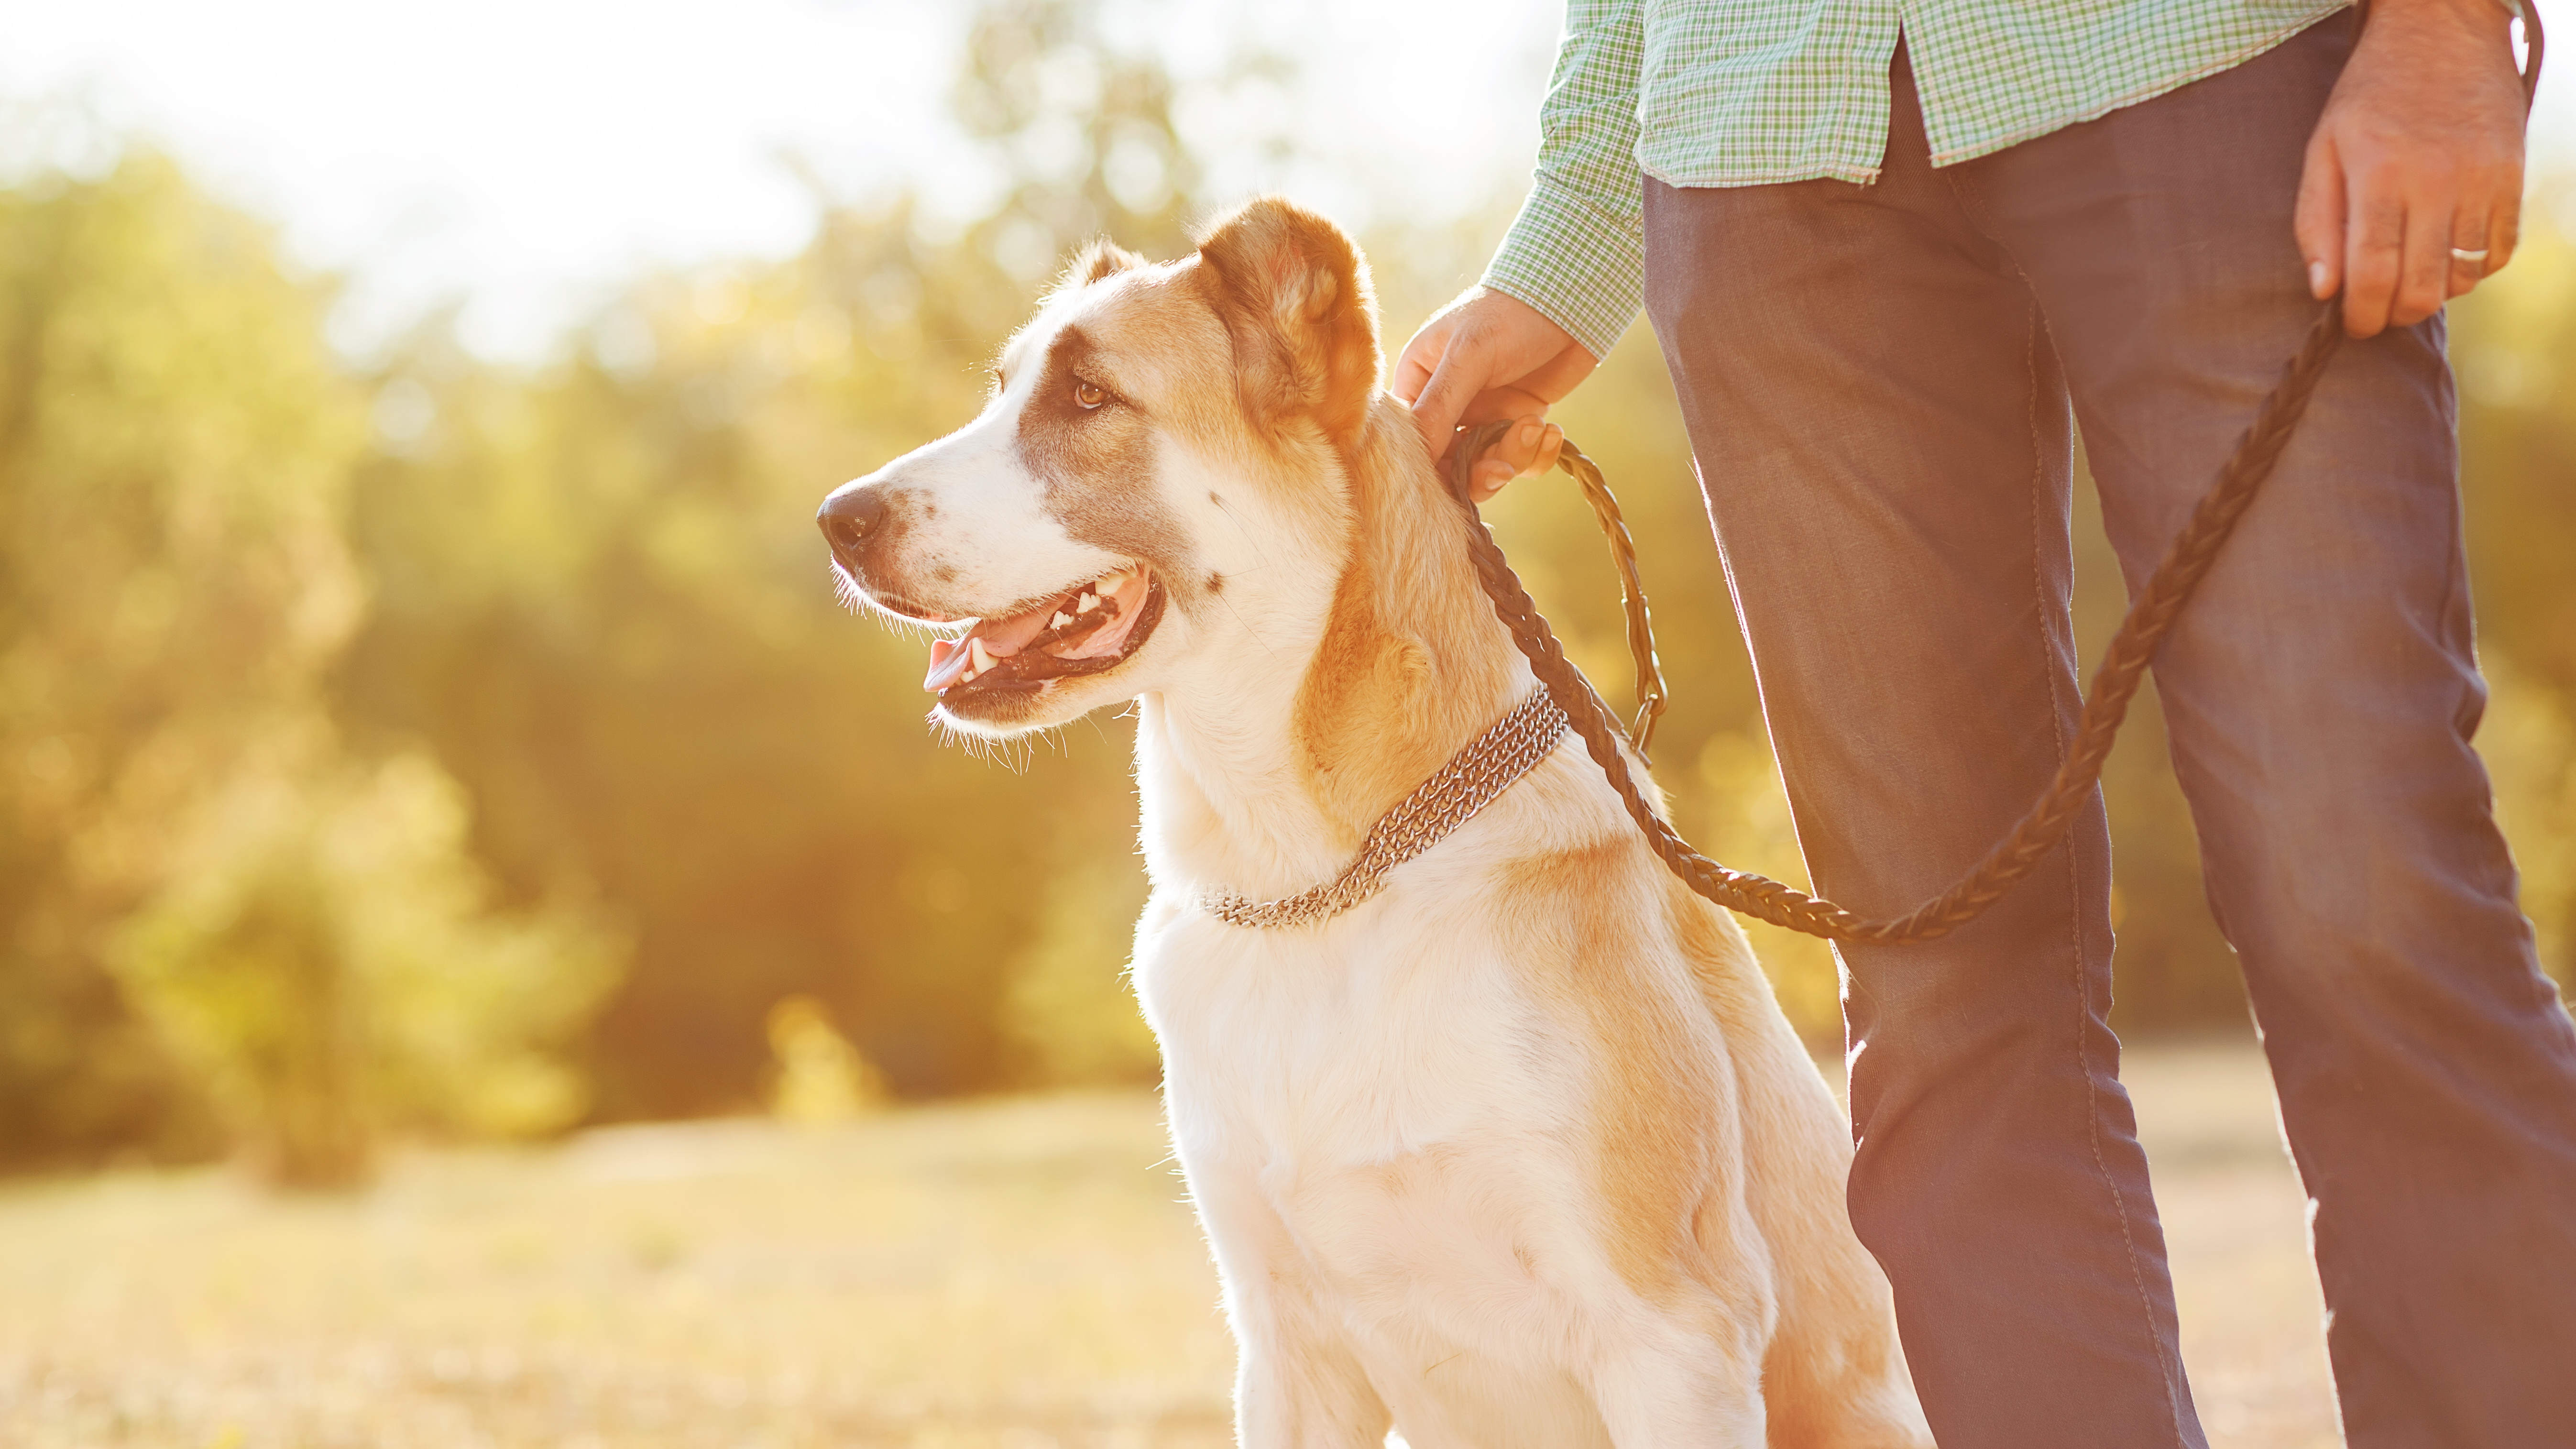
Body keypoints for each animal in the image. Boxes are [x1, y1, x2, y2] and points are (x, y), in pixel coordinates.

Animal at [814, 195, 1927, 1444]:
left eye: (1090, 396)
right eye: (1000, 388)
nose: (834, 521)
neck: (1318, 882)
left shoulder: (1670, 1330)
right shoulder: (1285, 1350)